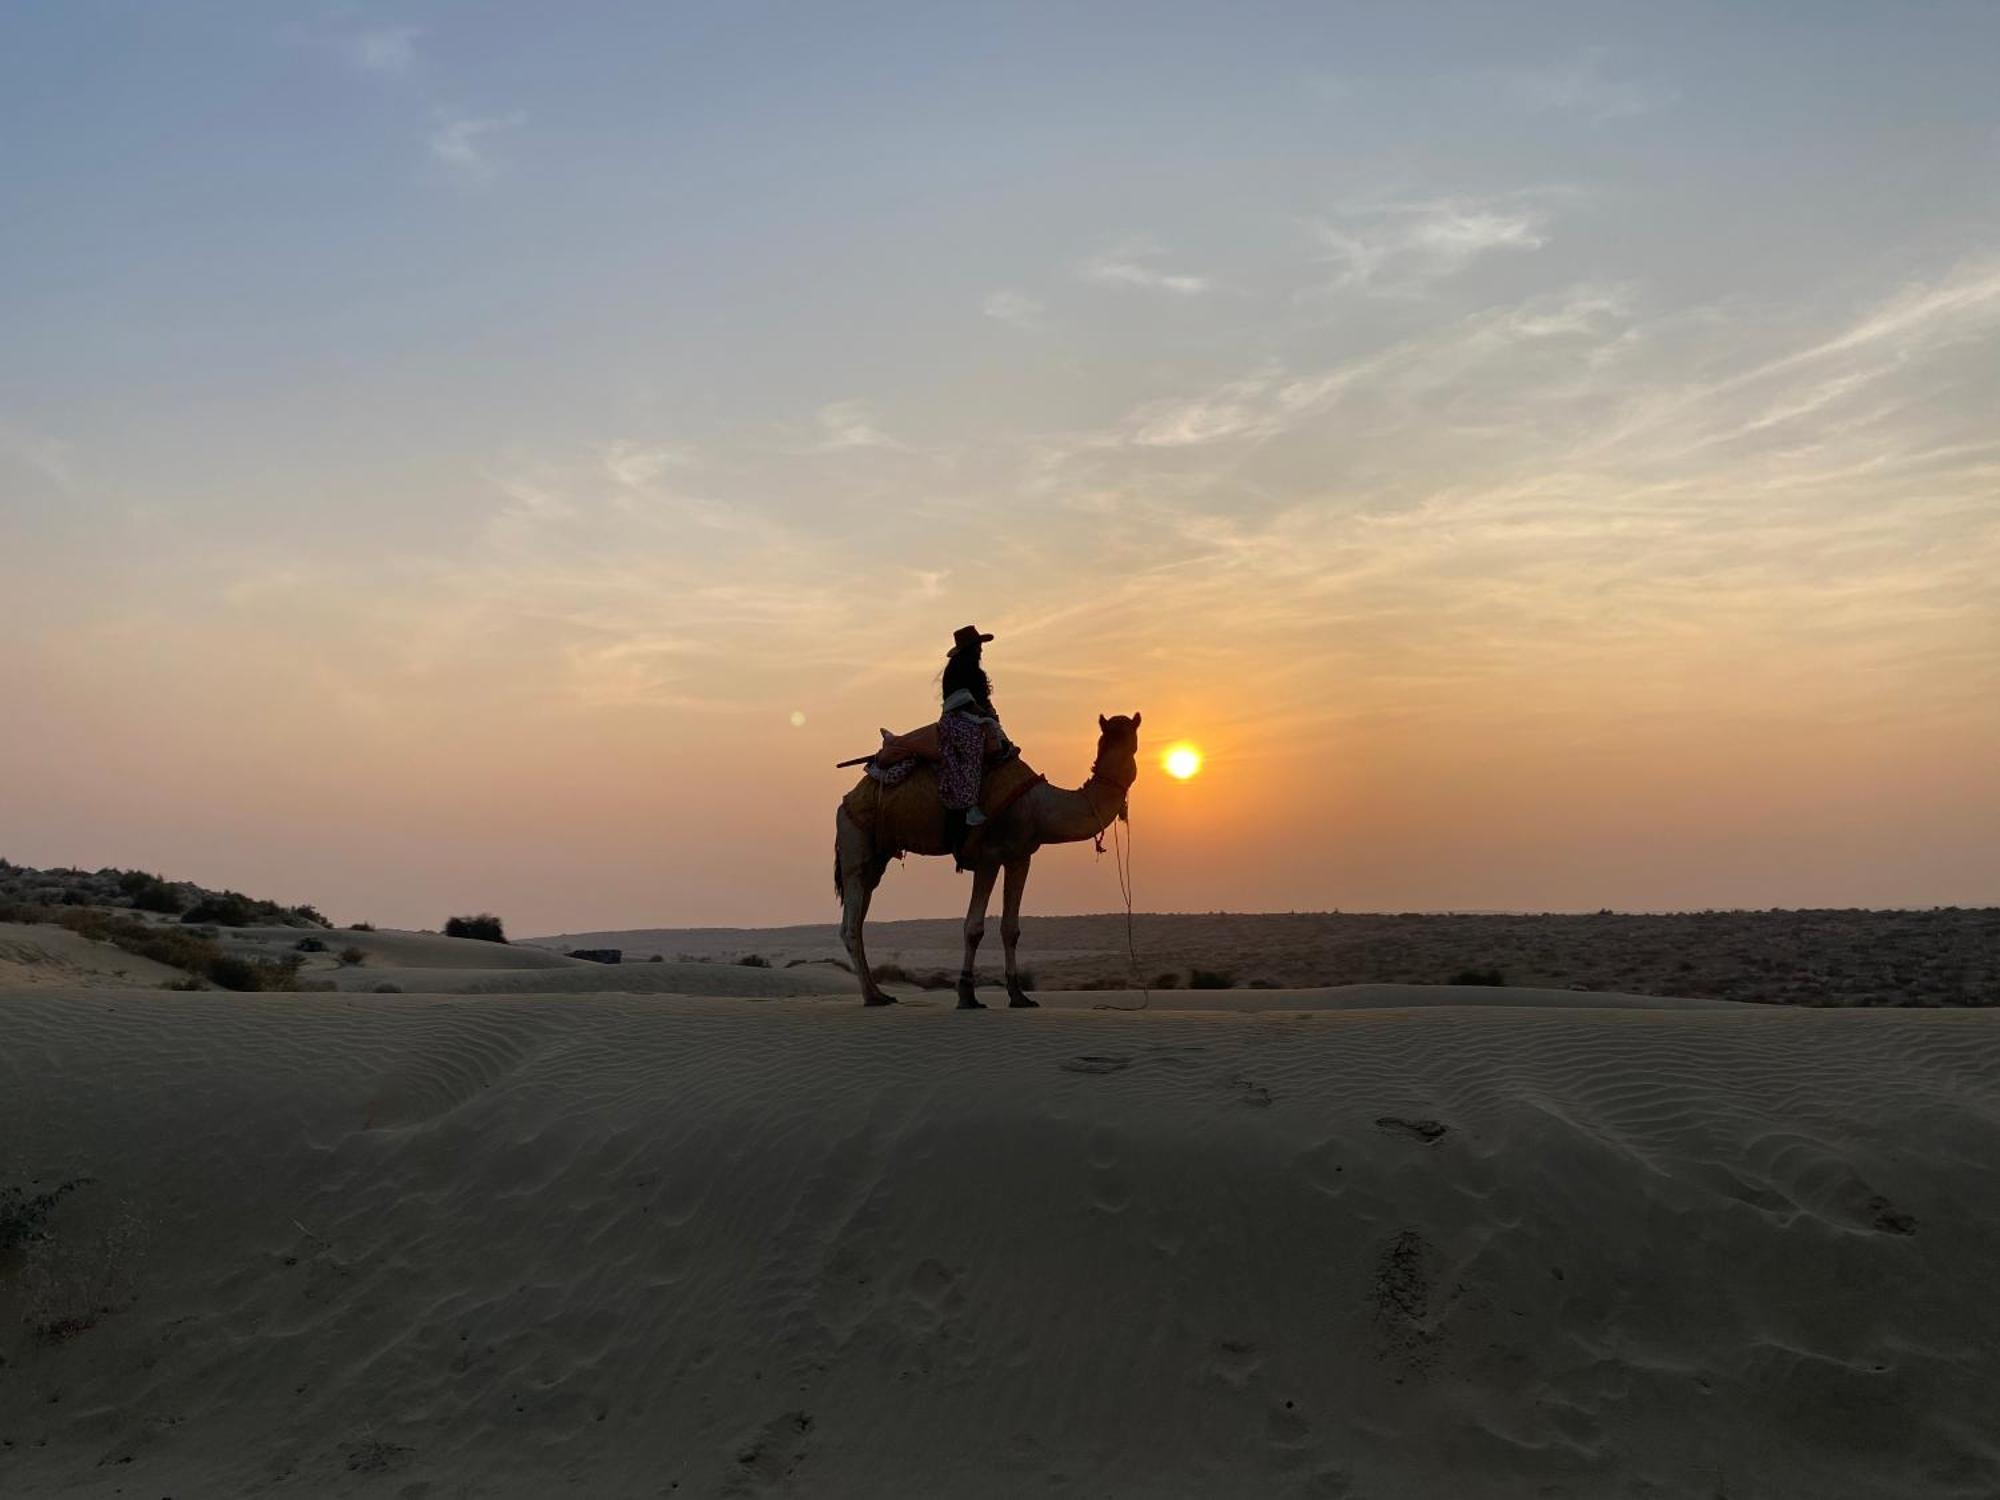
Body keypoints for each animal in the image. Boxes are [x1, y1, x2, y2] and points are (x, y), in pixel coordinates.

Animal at [832, 716, 1144, 1012]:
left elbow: (1011, 929)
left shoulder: (1020, 856)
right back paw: (872, 997)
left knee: (859, 917)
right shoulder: (988, 855)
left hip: (877, 856)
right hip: (855, 840)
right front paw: (967, 996)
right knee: (851, 923)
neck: (1038, 806)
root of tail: (846, 801)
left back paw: (880, 993)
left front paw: (1019, 996)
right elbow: (974, 928)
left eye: (1130, 738)